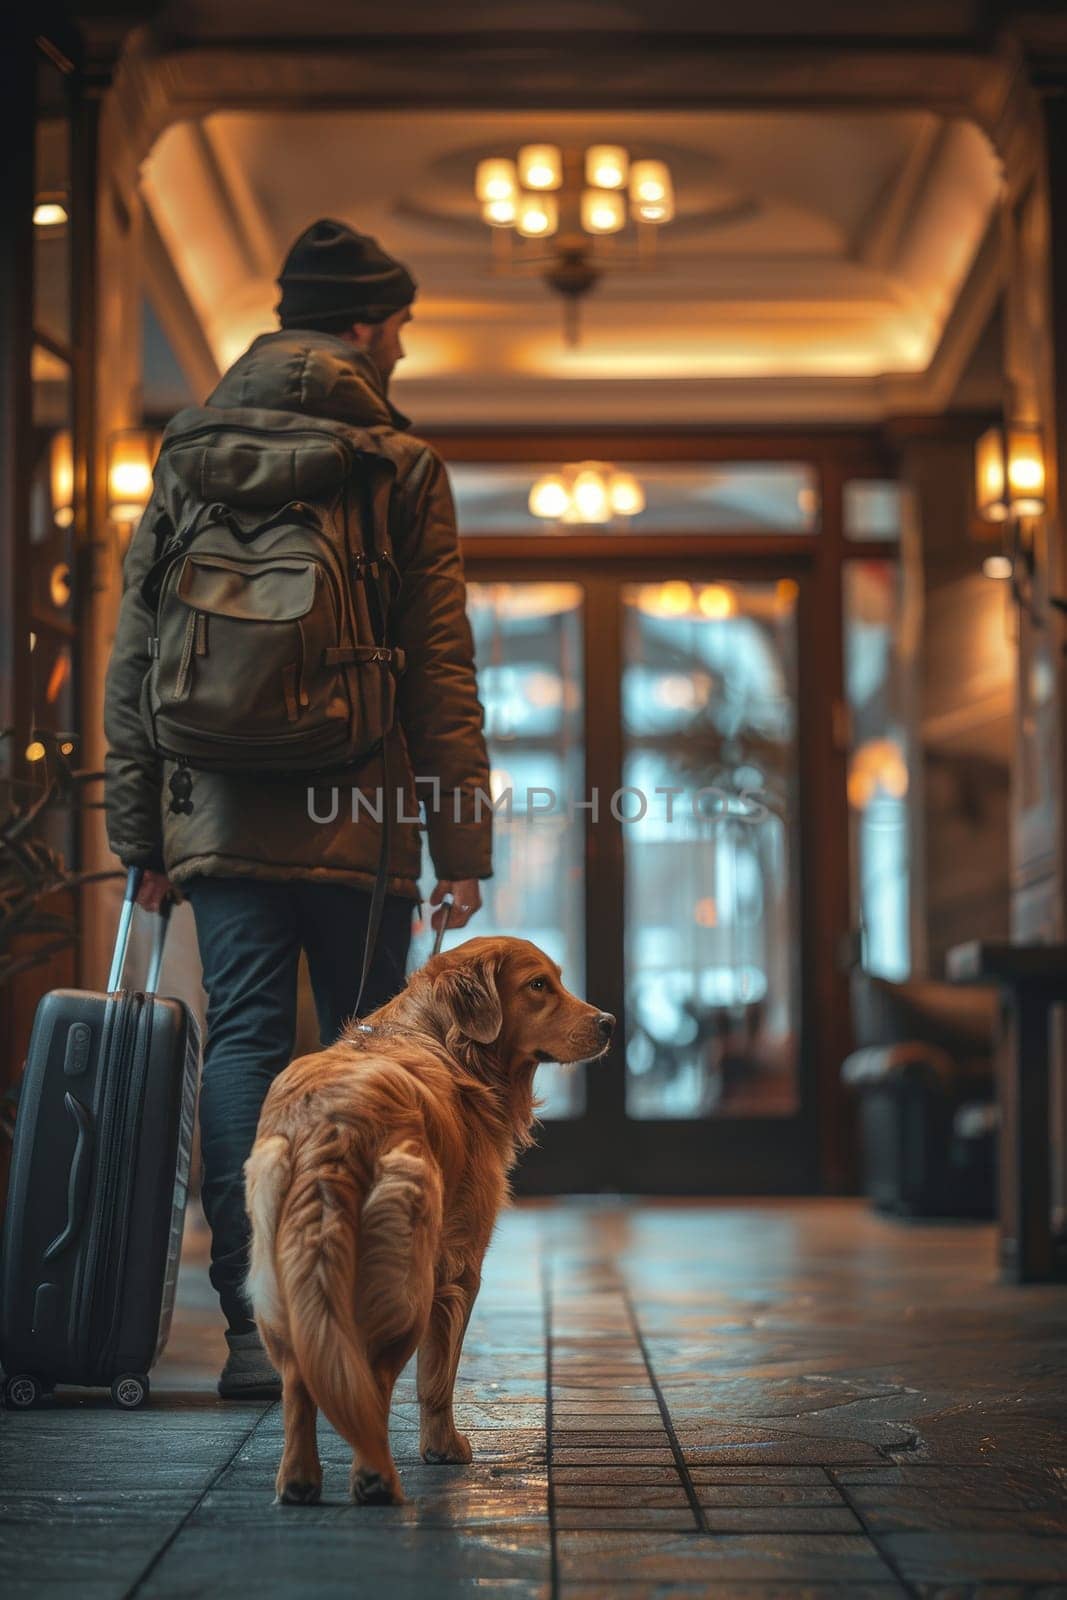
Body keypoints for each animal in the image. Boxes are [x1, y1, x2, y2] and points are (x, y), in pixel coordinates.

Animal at [241, 934, 607, 1504]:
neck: (447, 1041)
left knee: (299, 1378)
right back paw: (376, 1479)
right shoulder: (460, 1267)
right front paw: (443, 1448)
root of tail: (331, 1120)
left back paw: (299, 1481)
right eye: (538, 985)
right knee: (373, 1379)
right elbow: (438, 1376)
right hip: (407, 1278)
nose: (609, 1022)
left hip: (278, 1280)